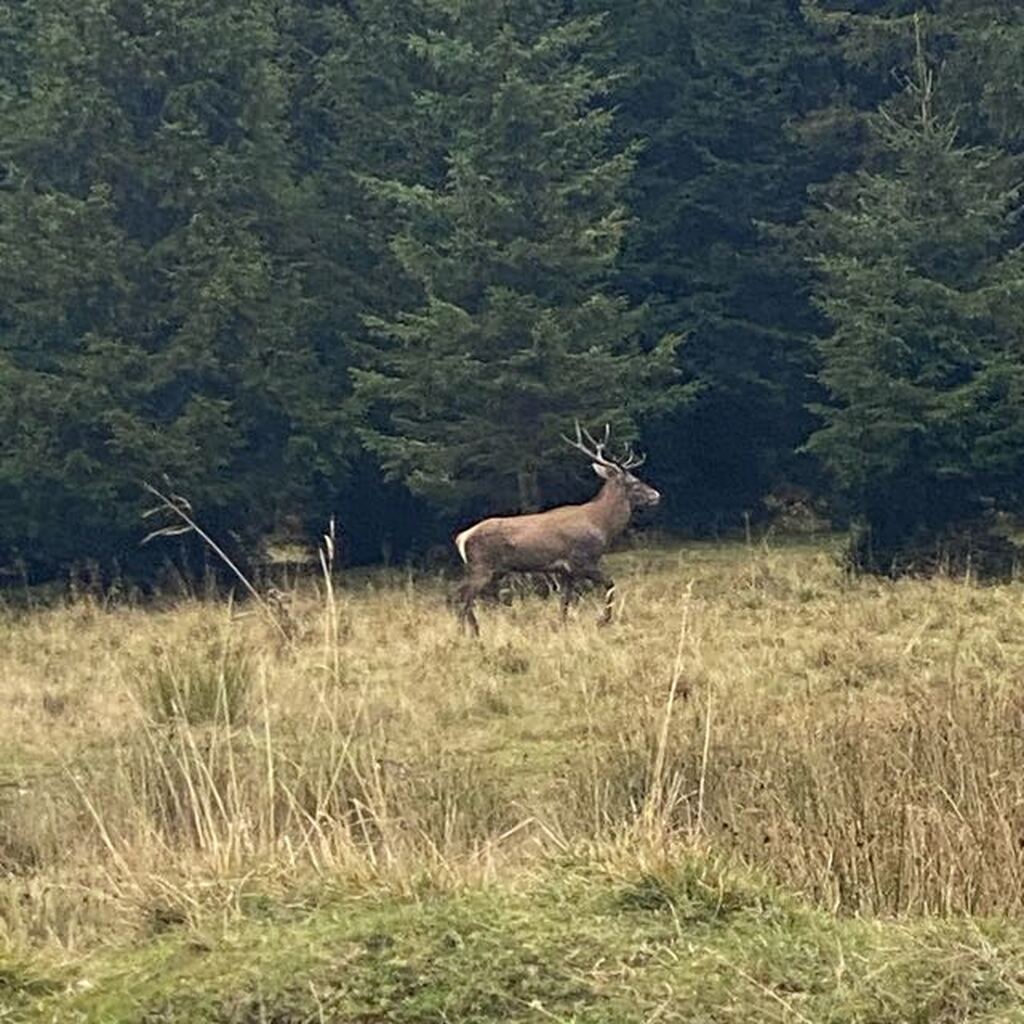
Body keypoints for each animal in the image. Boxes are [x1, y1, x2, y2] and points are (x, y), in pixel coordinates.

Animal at [452, 422, 660, 635]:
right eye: (633, 483)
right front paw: (602, 621)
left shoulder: (565, 571)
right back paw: (466, 633)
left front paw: (563, 626)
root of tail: (462, 537)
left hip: (488, 569)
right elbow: (610, 585)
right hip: (481, 566)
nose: (656, 495)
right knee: (462, 596)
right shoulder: (581, 561)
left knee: (463, 596)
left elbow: (564, 603)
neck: (601, 525)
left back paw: (473, 632)